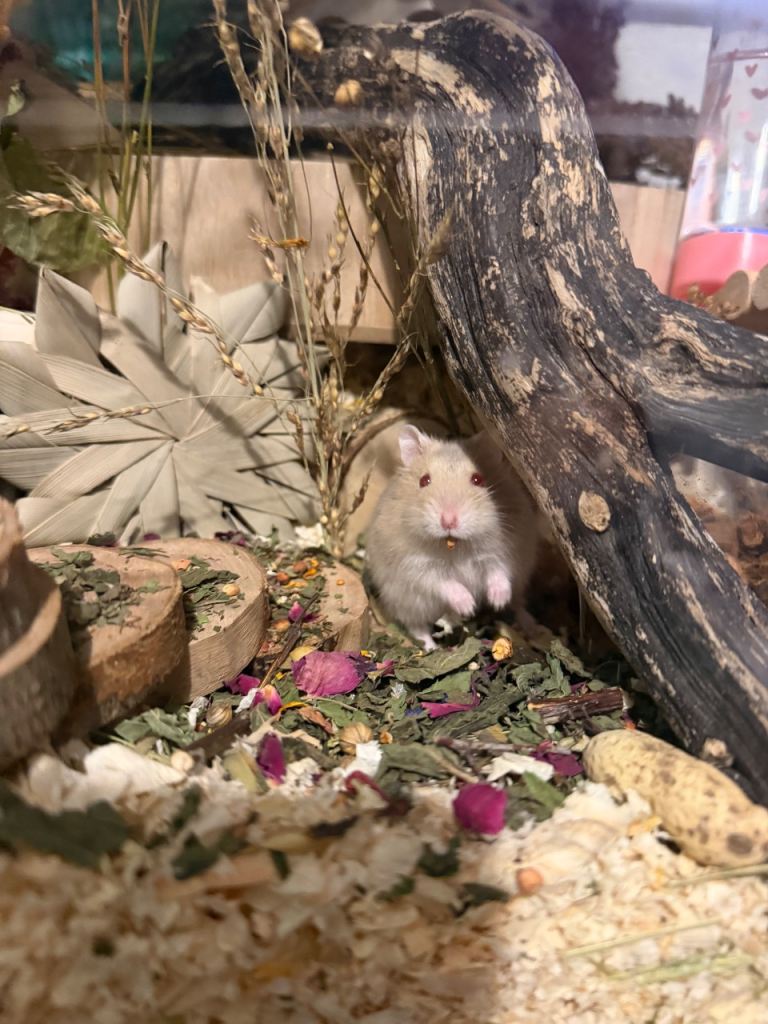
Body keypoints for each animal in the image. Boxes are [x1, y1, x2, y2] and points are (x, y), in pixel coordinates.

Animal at [364, 424, 539, 650]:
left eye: (477, 479)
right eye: (424, 480)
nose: (448, 521)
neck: (456, 545)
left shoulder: (508, 550)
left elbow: (499, 571)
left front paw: (497, 600)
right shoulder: (415, 567)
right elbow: (445, 583)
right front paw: (469, 606)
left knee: (518, 604)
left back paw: (529, 626)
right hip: (406, 603)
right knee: (417, 628)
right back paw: (432, 648)